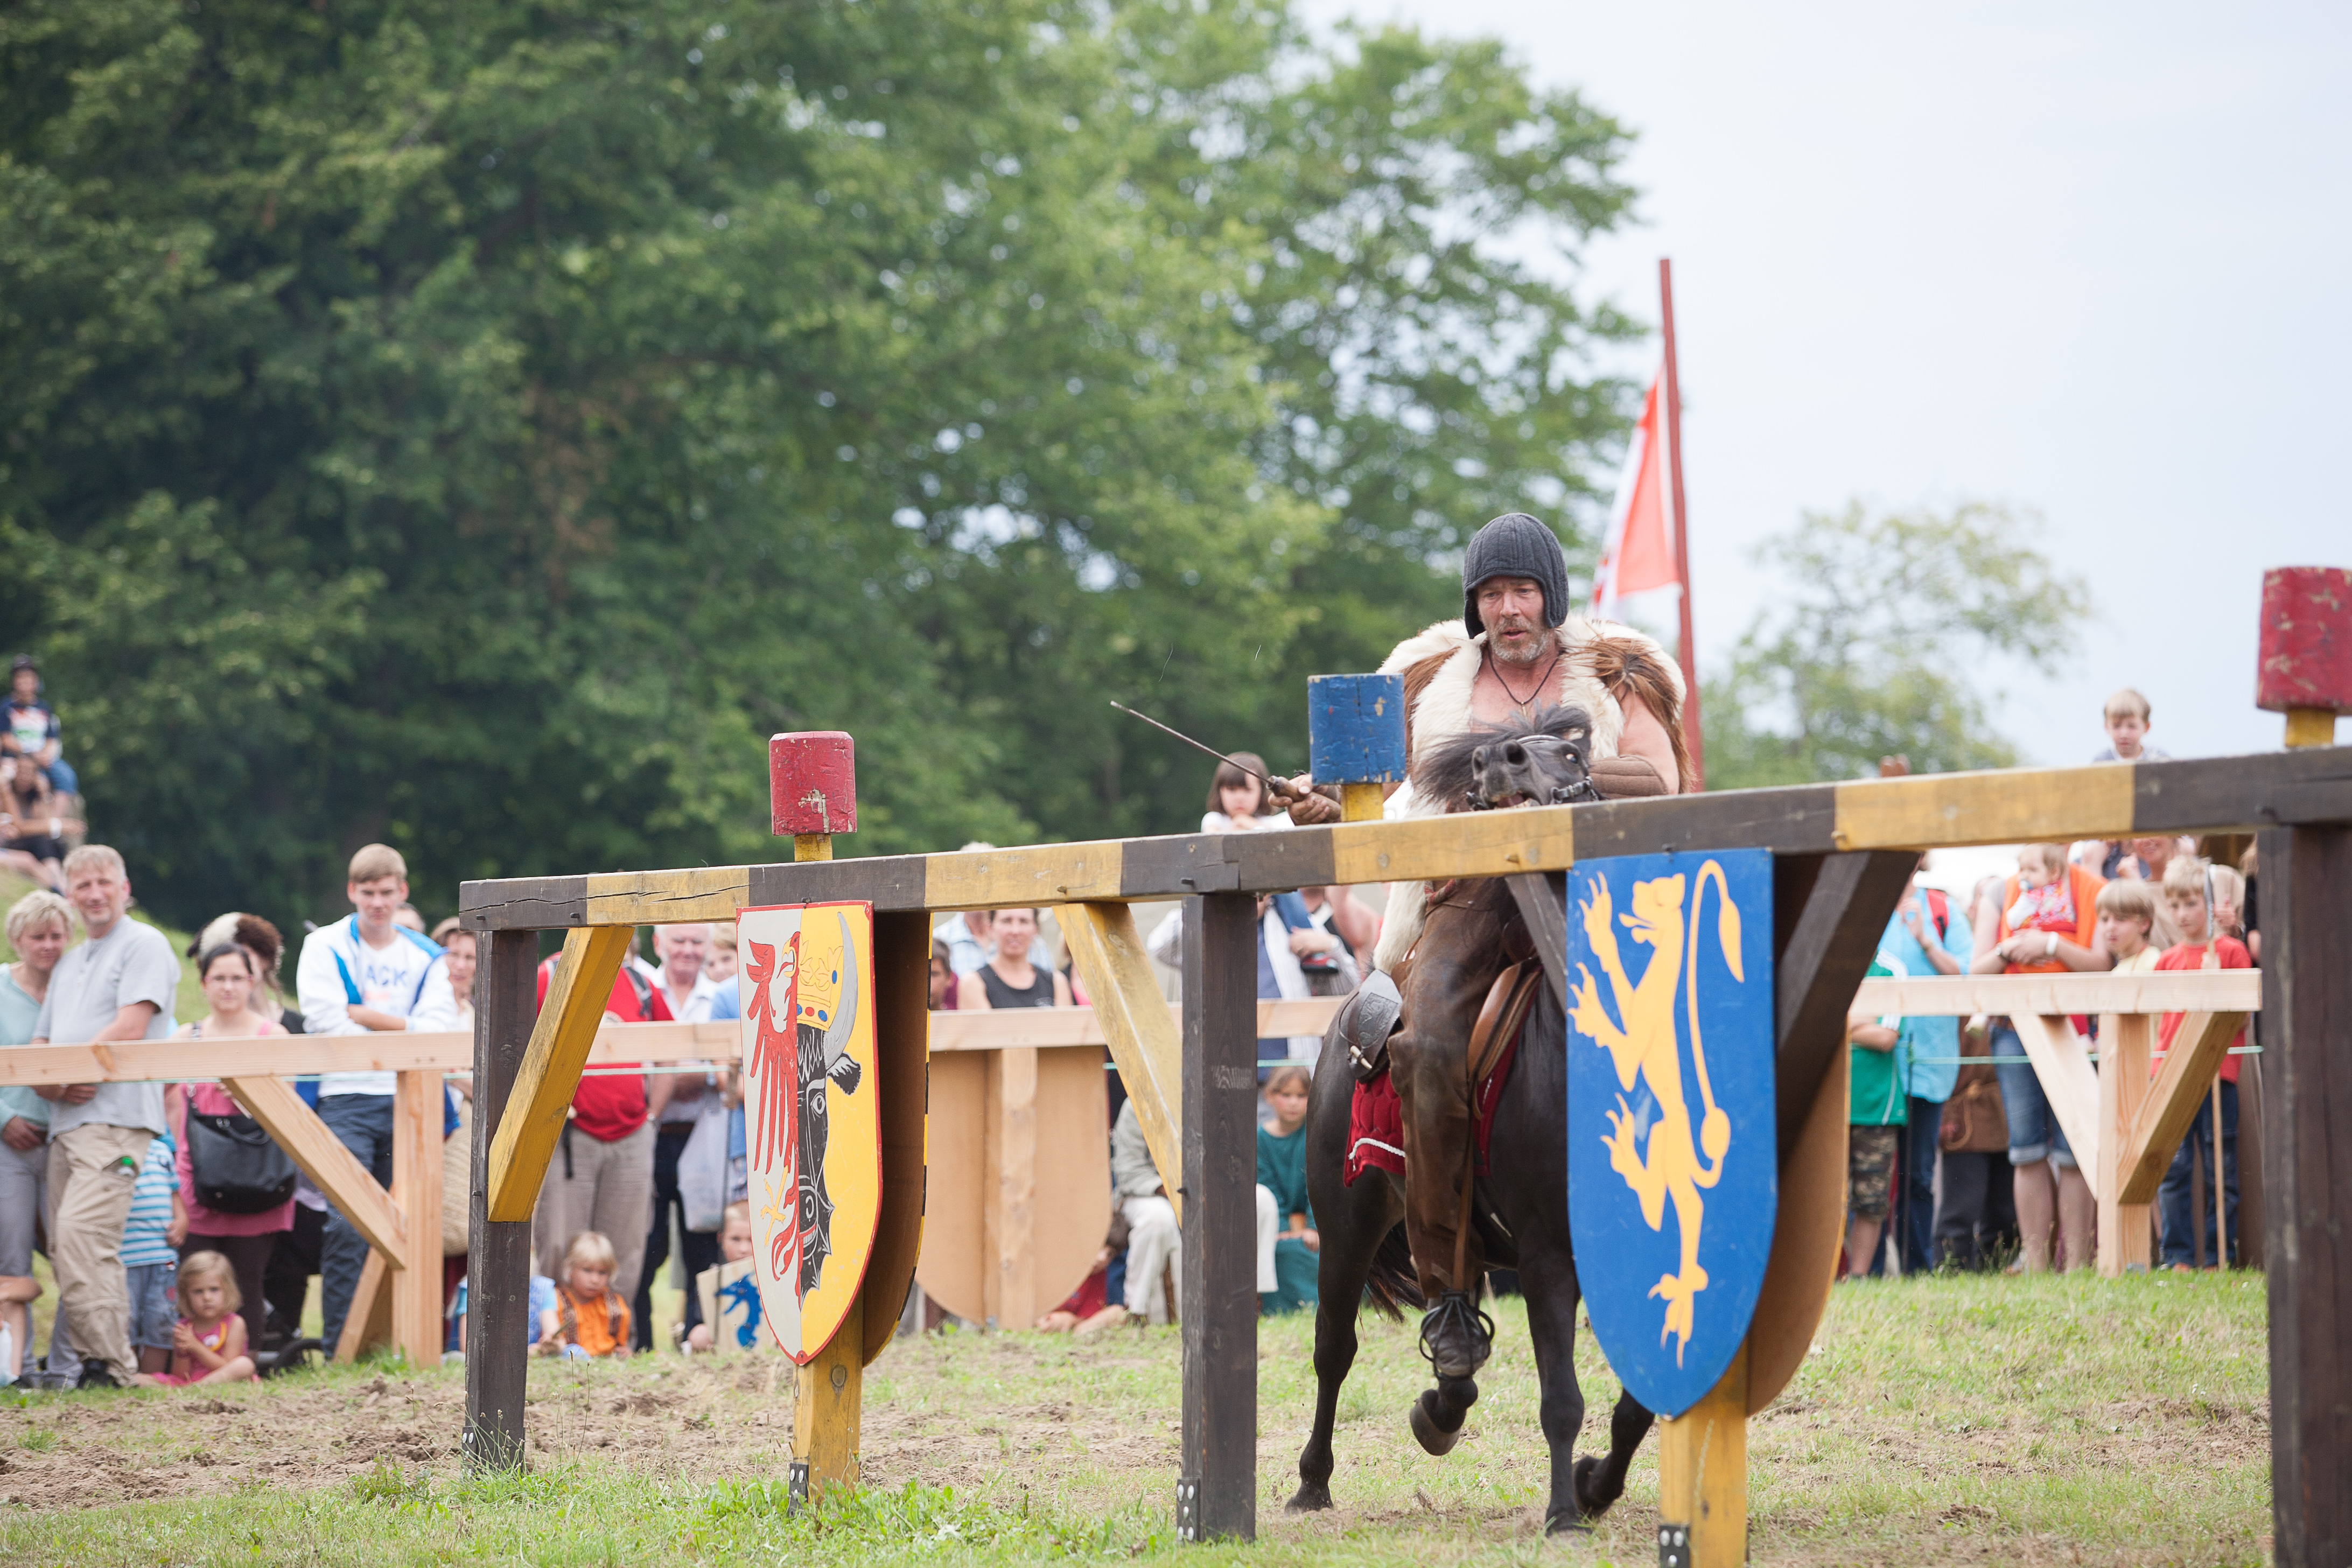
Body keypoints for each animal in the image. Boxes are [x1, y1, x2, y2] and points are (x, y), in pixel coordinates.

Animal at [1286, 705, 1658, 1535]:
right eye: (1504, 758)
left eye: (1576, 755)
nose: (1509, 761)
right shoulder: (1551, 1254)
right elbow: (1562, 1398)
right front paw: (1564, 1512)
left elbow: (1637, 1403)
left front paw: (1593, 1487)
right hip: (1348, 1227)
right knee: (1335, 1348)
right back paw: (1312, 1480)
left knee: (1447, 1320)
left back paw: (1442, 1401)